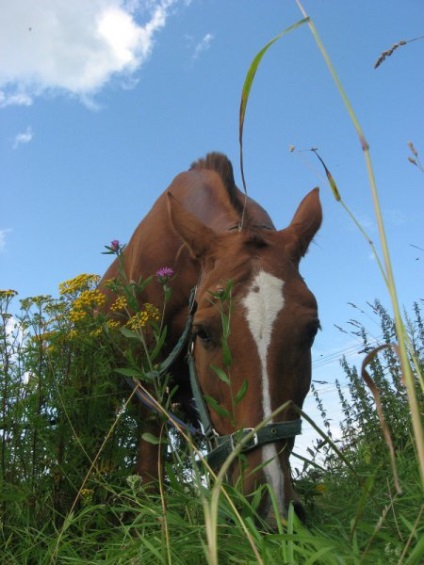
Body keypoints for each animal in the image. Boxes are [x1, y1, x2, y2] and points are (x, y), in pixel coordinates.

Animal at [101, 151, 322, 524]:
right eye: (203, 332)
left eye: (311, 330)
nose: (269, 504)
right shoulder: (148, 363)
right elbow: (151, 430)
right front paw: (149, 507)